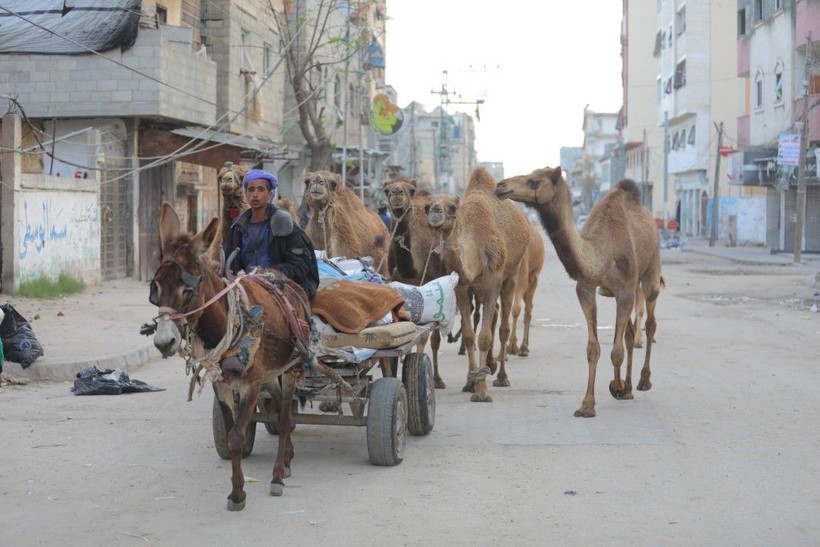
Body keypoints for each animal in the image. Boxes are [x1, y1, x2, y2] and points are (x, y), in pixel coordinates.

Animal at [384, 177, 448, 390]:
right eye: (386, 190)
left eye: (410, 190)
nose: (396, 193)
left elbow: (425, 336)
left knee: (434, 338)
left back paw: (437, 379)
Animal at [422, 167, 532, 402]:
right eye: (426, 206)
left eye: (452, 208)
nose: (435, 211)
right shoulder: (462, 288)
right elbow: (470, 336)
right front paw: (470, 383)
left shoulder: (493, 283)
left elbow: (485, 337)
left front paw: (482, 392)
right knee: (495, 314)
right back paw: (489, 365)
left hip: (511, 275)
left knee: (503, 326)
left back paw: (501, 377)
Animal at [494, 167, 660, 420]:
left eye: (534, 181)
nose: (501, 186)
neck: (602, 253)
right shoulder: (587, 288)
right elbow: (594, 348)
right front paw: (588, 405)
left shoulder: (624, 290)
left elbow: (616, 350)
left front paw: (615, 387)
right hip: (618, 290)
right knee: (631, 333)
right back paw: (629, 388)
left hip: (650, 272)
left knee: (650, 323)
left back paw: (643, 381)